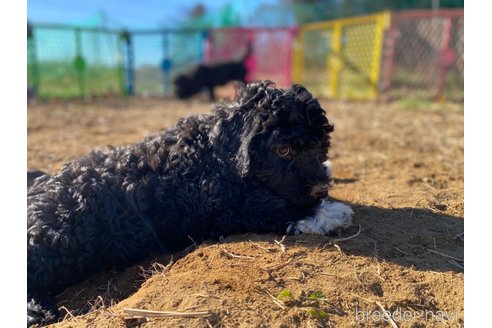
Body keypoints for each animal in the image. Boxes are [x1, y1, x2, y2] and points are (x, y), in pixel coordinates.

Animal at [27, 80, 354, 326]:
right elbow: (271, 205)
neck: (213, 152)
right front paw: (328, 213)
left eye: (320, 146)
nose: (321, 188)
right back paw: (37, 309)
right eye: (283, 150)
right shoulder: (219, 207)